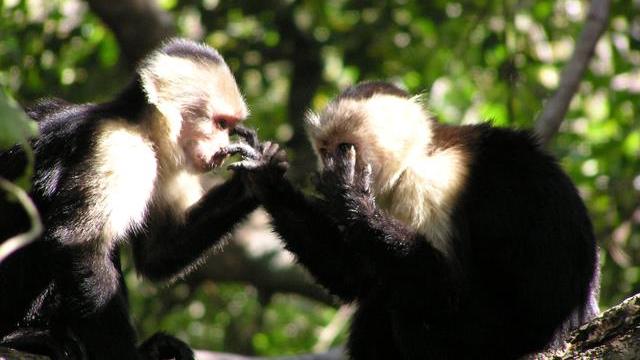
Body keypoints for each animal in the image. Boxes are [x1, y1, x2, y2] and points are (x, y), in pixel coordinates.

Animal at [0, 39, 262, 360]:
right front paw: (129, 354)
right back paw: (27, 336)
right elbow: (77, 244)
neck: (140, 127)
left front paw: (259, 173)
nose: (223, 147)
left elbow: (157, 254)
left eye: (230, 126)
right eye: (221, 123)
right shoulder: (118, 146)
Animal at [234, 81, 600, 360]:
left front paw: (350, 197)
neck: (420, 154)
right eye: (324, 151)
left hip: (502, 334)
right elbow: (356, 276)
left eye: (344, 148)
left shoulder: (430, 186)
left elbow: (449, 289)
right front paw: (269, 178)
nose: (326, 168)